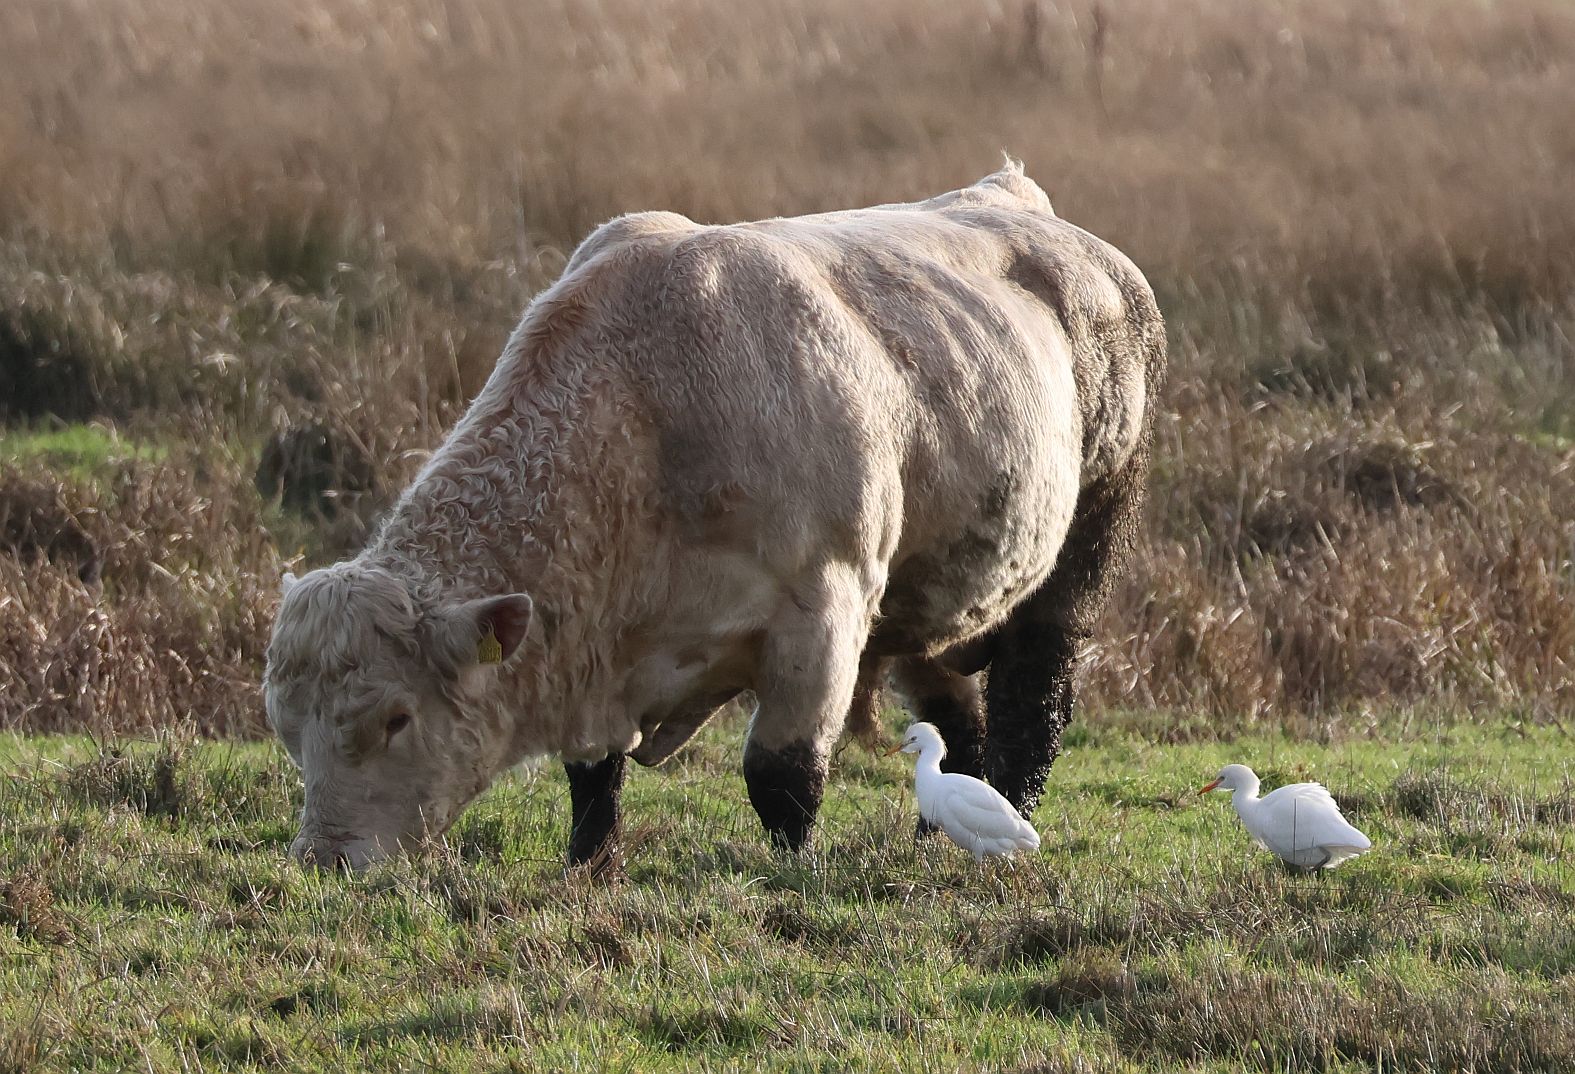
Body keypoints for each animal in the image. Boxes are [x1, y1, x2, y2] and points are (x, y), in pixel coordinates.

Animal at [264, 162, 1166, 870]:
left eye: (395, 718)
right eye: (285, 727)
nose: (324, 859)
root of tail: (1018, 199)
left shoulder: (821, 612)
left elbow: (782, 776)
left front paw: (794, 869)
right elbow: (592, 775)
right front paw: (589, 864)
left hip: (1082, 545)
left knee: (1031, 704)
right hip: (927, 596)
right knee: (957, 722)